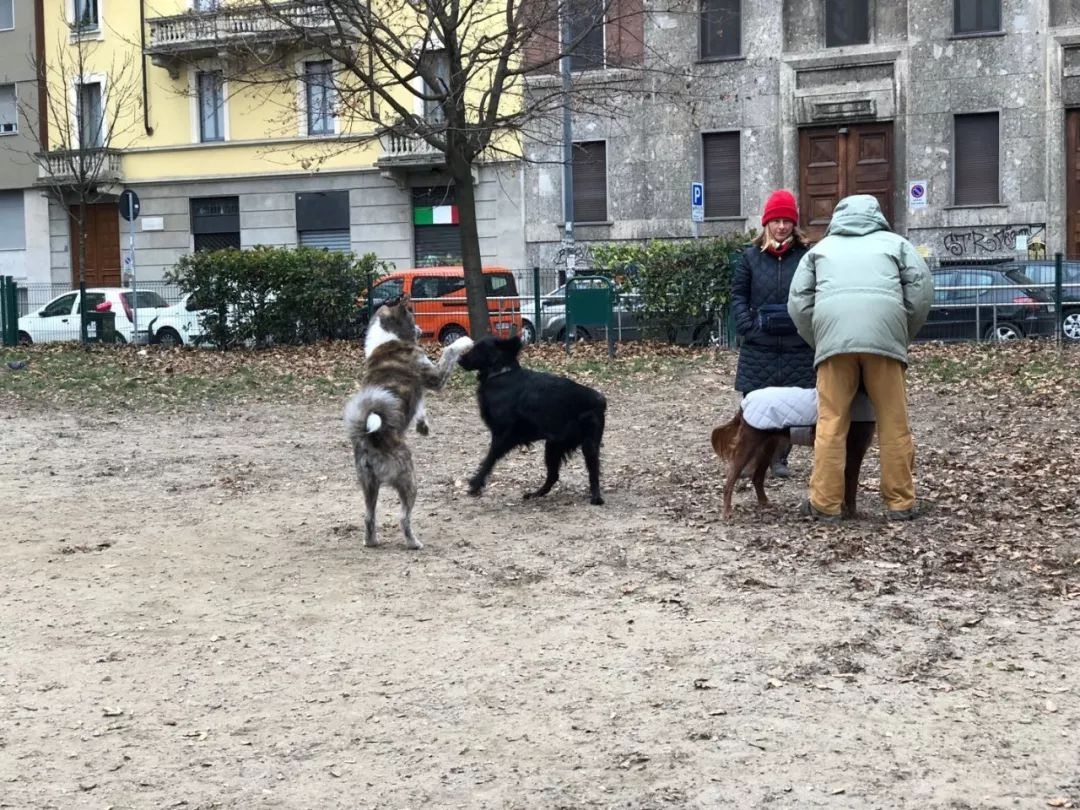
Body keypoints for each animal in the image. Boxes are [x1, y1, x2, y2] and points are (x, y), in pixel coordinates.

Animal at [455, 336, 609, 505]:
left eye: (478, 348)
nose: (459, 359)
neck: (502, 374)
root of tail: (600, 399)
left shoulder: (502, 435)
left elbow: (489, 459)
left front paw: (475, 483)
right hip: (553, 447)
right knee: (553, 476)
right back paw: (536, 494)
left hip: (588, 445)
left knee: (593, 472)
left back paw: (596, 497)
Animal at [708, 412, 876, 520]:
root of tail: (743, 406)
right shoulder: (854, 452)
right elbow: (851, 488)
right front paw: (853, 513)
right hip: (748, 444)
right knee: (729, 481)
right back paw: (727, 512)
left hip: (768, 445)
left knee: (757, 477)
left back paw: (764, 502)